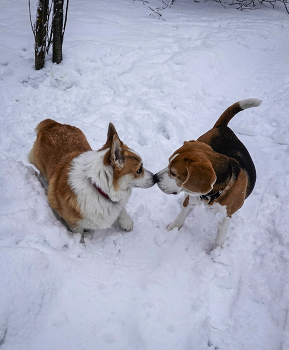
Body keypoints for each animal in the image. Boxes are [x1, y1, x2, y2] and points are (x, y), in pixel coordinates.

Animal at [155, 97, 260, 247]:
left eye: (173, 172)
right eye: (168, 163)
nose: (155, 177)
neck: (212, 194)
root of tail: (223, 127)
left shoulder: (226, 215)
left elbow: (220, 235)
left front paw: (216, 250)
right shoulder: (191, 201)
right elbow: (180, 218)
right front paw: (170, 230)